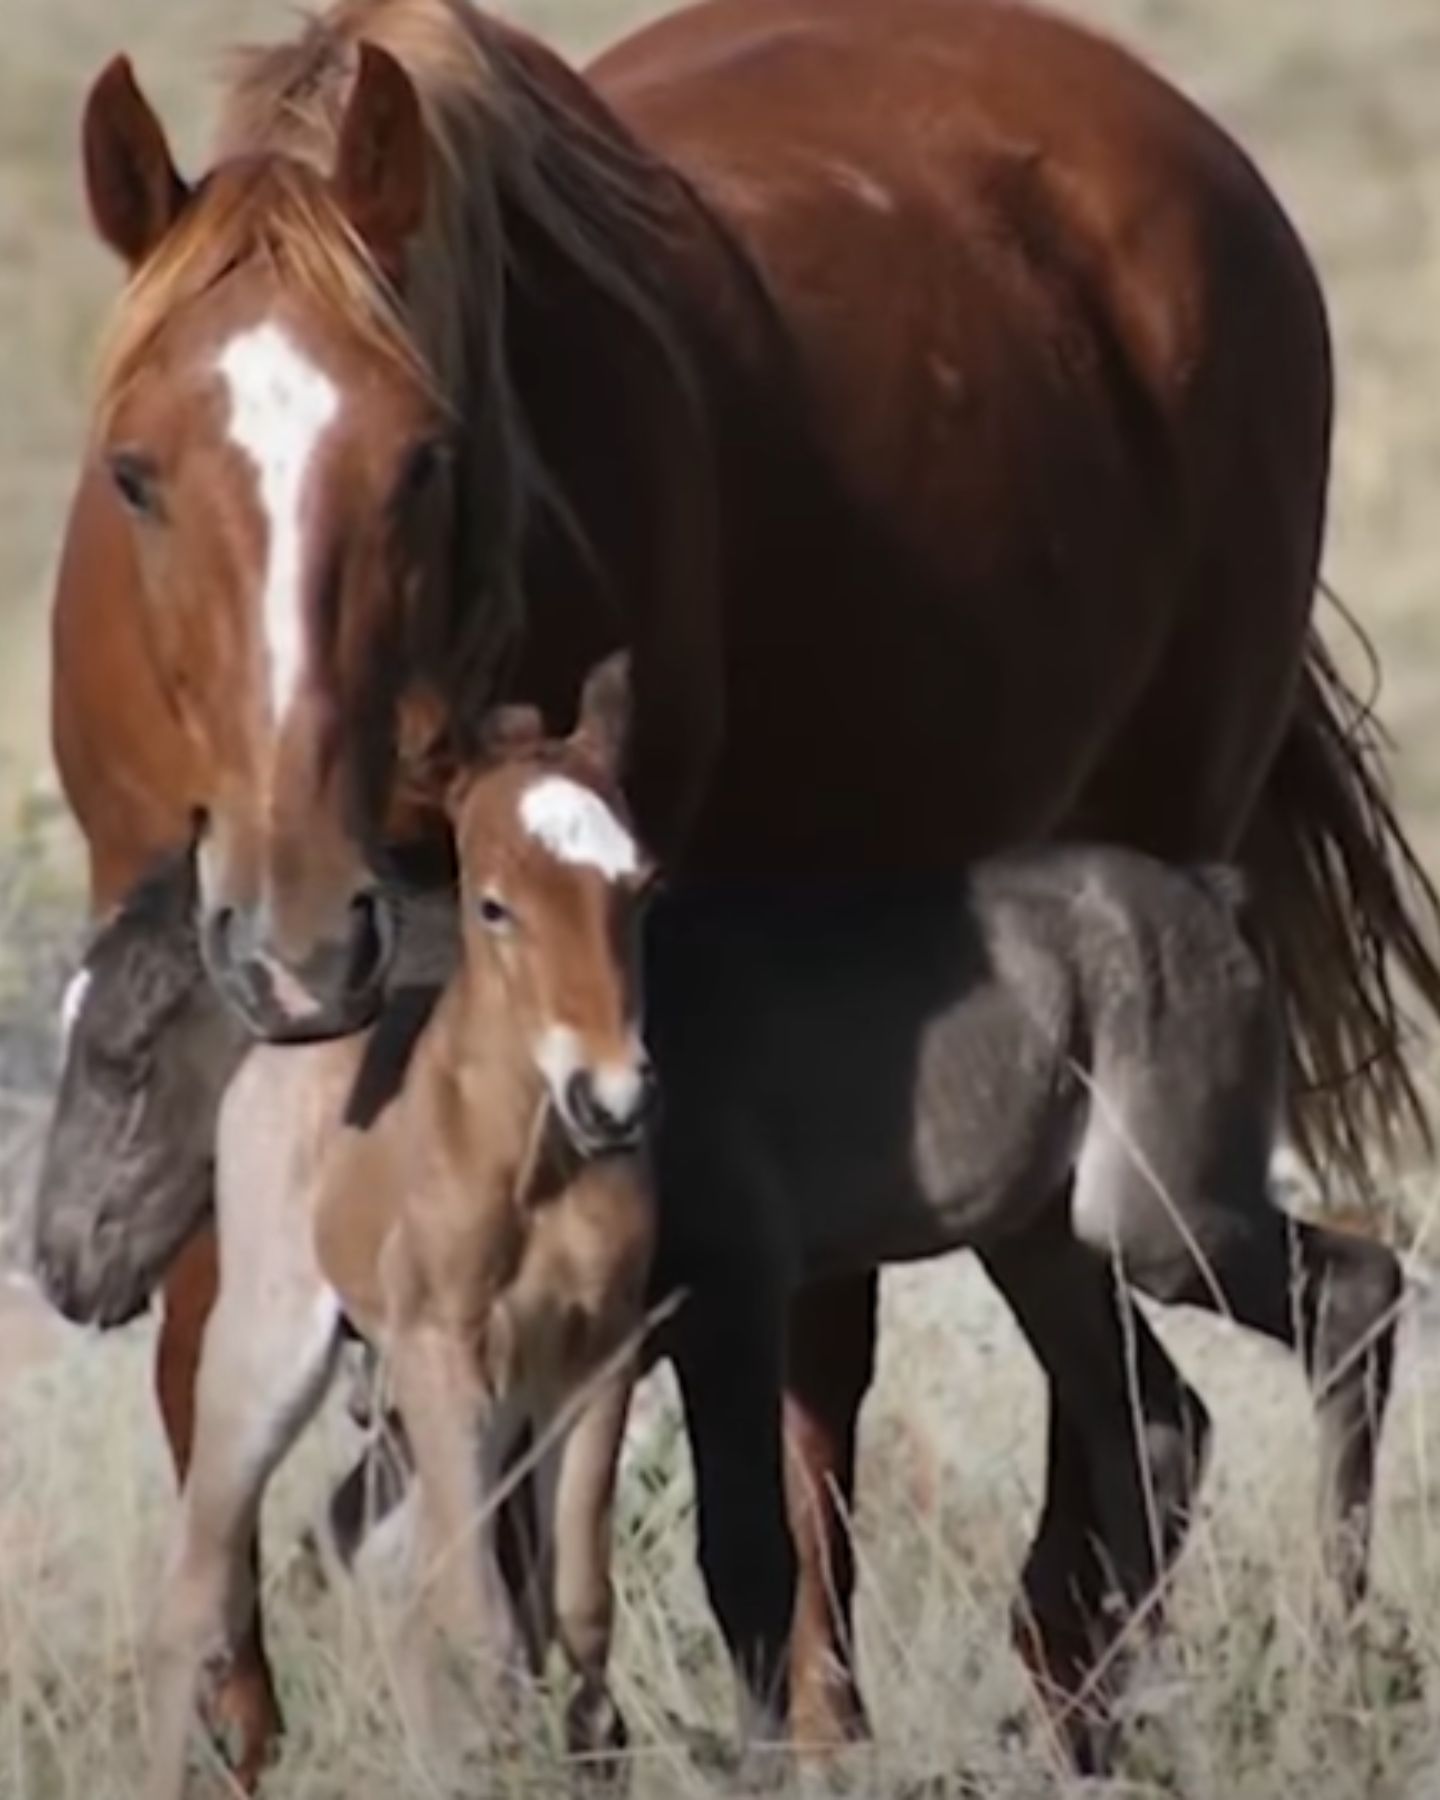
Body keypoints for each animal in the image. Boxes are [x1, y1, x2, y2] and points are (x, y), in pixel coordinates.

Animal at [142, 666, 651, 1800]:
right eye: (494, 904)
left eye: (639, 885)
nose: (613, 1099)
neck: (528, 1164)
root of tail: (286, 1048)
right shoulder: (442, 1352)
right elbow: (485, 1622)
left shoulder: (597, 1360)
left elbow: (580, 1609)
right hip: (271, 1350)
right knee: (201, 1585)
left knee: (377, 1556)